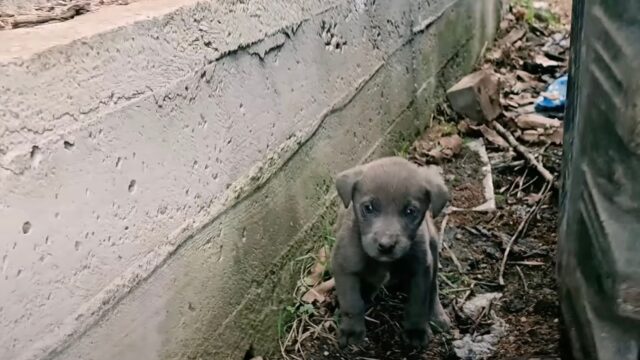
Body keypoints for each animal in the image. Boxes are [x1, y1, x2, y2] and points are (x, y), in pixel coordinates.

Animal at [330, 157, 450, 348]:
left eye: (410, 211)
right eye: (368, 208)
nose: (386, 245)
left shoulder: (421, 270)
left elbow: (418, 303)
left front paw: (416, 330)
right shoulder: (344, 267)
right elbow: (352, 303)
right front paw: (351, 331)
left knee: (434, 289)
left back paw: (437, 316)